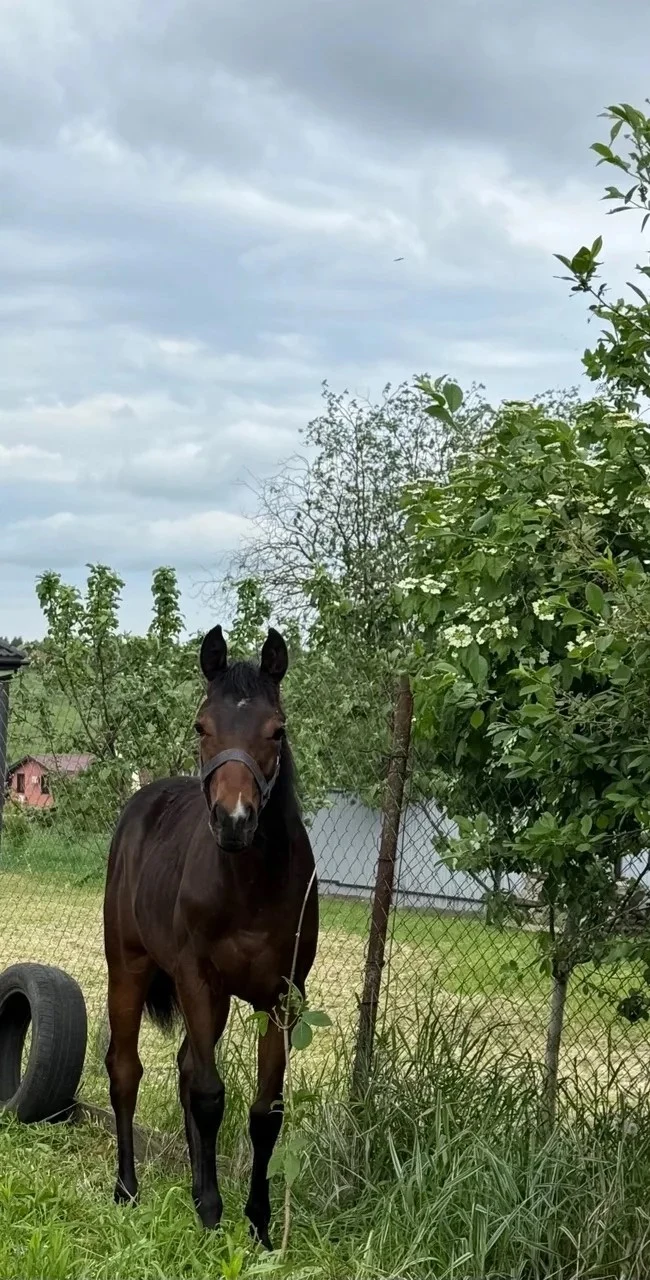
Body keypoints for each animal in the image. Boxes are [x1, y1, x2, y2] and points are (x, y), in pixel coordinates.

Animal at [103, 625, 318, 1248]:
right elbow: (208, 1094)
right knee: (126, 1070)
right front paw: (212, 1213)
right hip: (128, 968)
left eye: (277, 730)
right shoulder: (198, 980)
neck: (248, 888)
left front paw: (258, 1222)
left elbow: (264, 1111)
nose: (234, 820)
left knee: (181, 1066)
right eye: (202, 725)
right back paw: (127, 1189)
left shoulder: (283, 999)